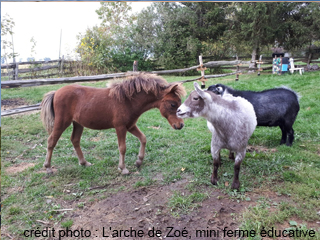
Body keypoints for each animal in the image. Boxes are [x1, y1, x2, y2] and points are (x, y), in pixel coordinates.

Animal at [40, 72, 185, 174]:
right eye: (173, 104)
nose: (181, 125)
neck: (128, 100)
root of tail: (56, 92)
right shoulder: (120, 127)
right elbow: (122, 147)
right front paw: (123, 168)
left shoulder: (130, 126)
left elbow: (143, 138)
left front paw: (139, 161)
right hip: (62, 122)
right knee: (51, 141)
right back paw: (48, 168)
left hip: (78, 124)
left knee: (75, 140)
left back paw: (84, 163)